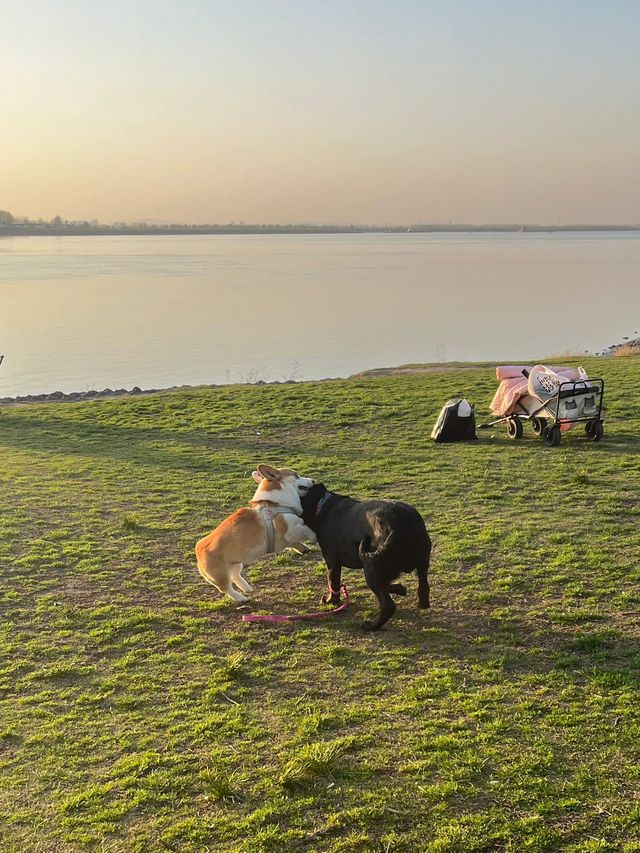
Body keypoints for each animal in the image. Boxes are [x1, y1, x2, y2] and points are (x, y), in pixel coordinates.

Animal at [194, 466, 316, 600]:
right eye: (296, 475)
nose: (313, 480)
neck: (276, 503)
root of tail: (198, 549)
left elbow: (296, 542)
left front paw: (304, 548)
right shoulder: (291, 528)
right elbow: (307, 530)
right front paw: (314, 537)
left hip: (235, 564)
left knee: (235, 576)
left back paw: (247, 588)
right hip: (221, 574)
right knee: (226, 588)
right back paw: (241, 598)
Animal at [300, 482, 430, 628]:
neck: (322, 505)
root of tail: (400, 527)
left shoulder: (332, 562)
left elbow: (333, 583)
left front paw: (330, 601)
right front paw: (400, 588)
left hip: (371, 569)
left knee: (388, 605)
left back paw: (371, 626)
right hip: (421, 563)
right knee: (423, 588)